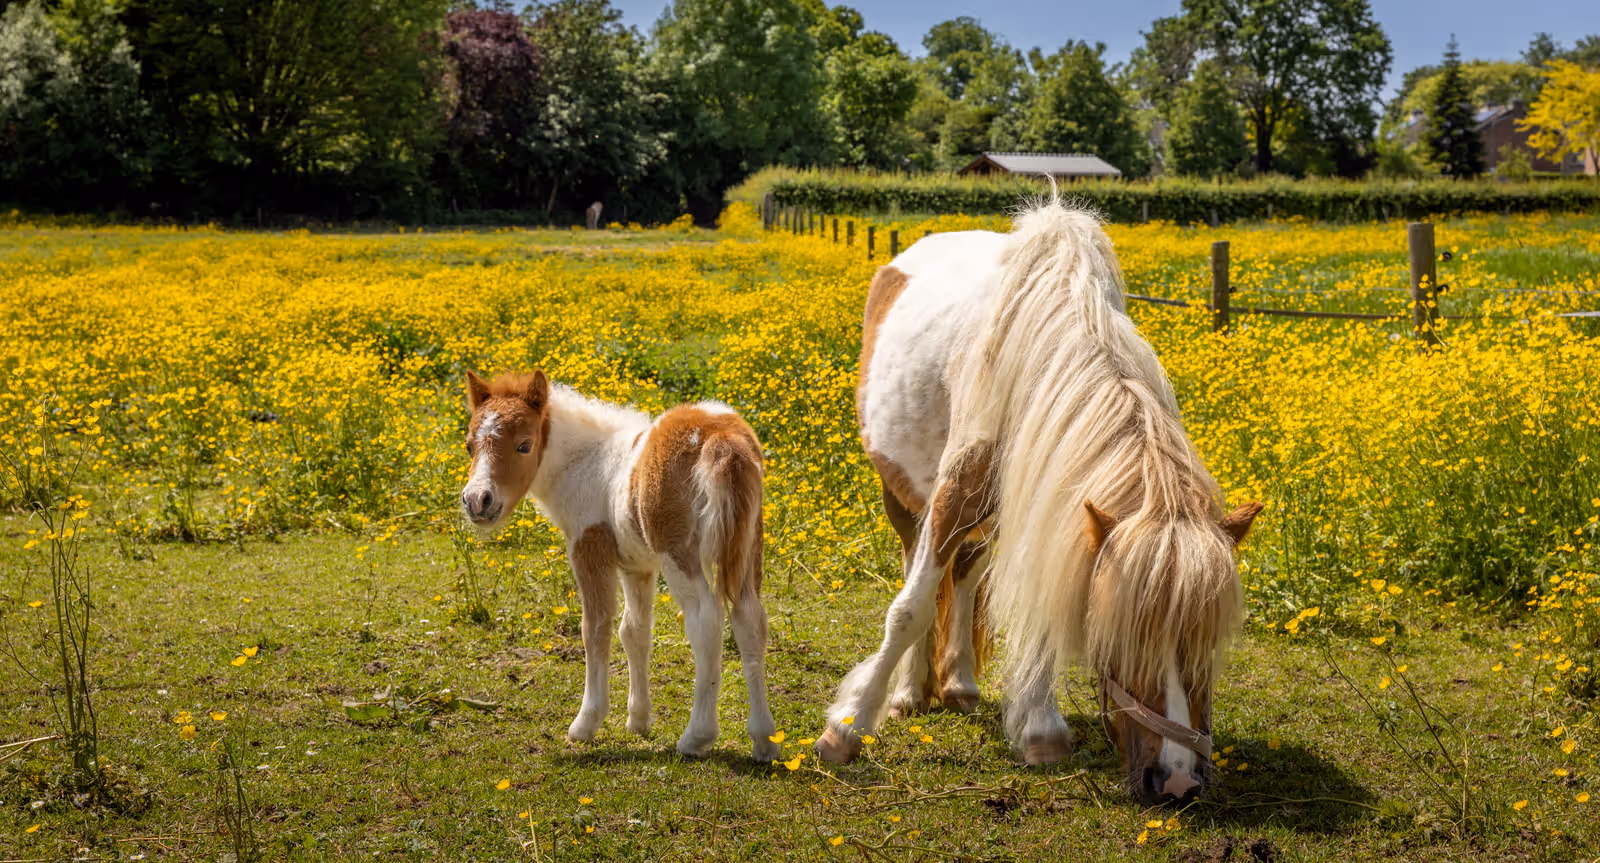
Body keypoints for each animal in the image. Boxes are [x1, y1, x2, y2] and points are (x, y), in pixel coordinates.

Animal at [459, 370, 780, 762]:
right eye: (469, 446)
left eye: (524, 445)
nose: (478, 501)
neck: (585, 462)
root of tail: (722, 439)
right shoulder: (637, 566)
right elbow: (634, 631)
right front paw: (638, 721)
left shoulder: (589, 547)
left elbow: (595, 629)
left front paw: (585, 724)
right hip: (748, 546)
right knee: (750, 619)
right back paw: (764, 740)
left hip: (678, 553)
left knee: (705, 620)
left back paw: (697, 737)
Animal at [816, 198, 1263, 806]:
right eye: (1123, 641)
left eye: (1207, 645)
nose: (1176, 781)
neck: (1047, 348)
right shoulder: (953, 495)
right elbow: (909, 609)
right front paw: (847, 729)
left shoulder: (1049, 508)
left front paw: (1040, 730)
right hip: (905, 497)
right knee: (916, 570)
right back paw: (909, 690)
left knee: (963, 577)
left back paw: (958, 683)